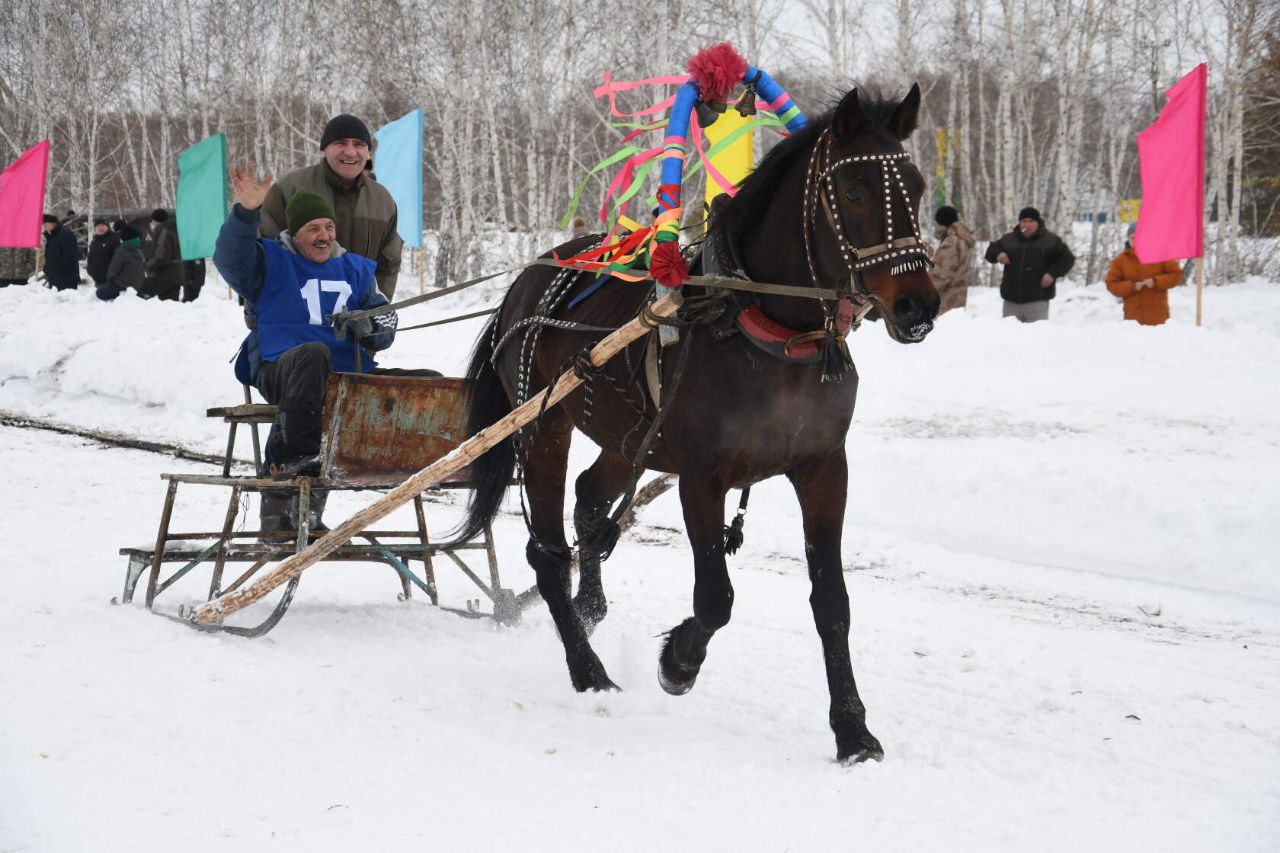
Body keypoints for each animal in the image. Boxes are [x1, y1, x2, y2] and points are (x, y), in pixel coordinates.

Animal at [455, 83, 936, 758]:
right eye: (855, 191)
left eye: (915, 186)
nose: (918, 306)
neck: (768, 332)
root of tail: (529, 276)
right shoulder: (701, 477)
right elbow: (715, 597)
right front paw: (679, 660)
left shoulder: (823, 470)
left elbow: (832, 603)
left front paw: (852, 728)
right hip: (542, 425)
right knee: (547, 552)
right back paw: (589, 670)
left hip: (628, 438)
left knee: (589, 502)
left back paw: (590, 607)